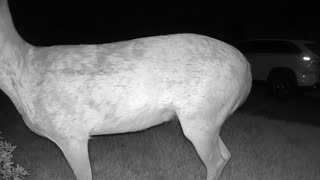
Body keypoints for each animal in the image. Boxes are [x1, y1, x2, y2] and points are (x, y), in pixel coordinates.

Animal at [0, 0, 251, 179]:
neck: (23, 71)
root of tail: (247, 70)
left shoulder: (71, 134)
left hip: (200, 117)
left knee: (216, 161)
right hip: (209, 118)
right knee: (226, 155)